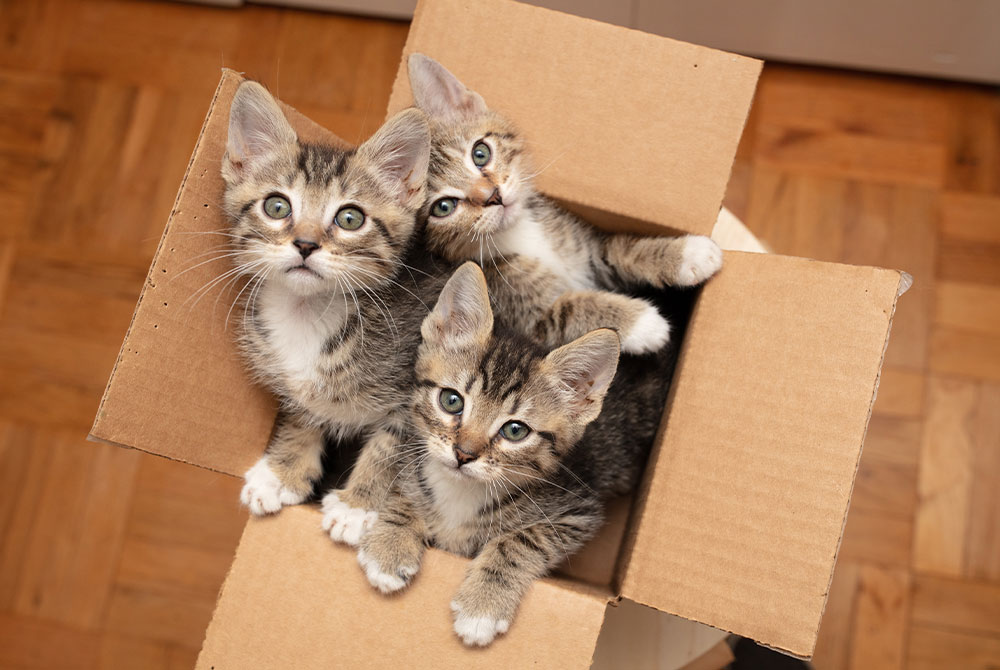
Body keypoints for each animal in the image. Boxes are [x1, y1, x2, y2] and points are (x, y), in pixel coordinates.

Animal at [225, 81, 448, 540]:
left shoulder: (416, 394)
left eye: (350, 218)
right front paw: (283, 473)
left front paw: (357, 506)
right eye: (277, 206)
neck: (307, 314)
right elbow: (301, 409)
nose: (306, 244)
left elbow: (392, 446)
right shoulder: (289, 381)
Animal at [352, 266, 672, 648]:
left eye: (515, 431)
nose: (464, 454)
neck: (460, 491)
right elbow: (405, 487)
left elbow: (521, 539)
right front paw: (391, 544)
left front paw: (482, 606)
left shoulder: (578, 512)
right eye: (451, 400)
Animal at [410, 54, 724, 356]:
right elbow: (568, 310)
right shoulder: (526, 317)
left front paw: (690, 253)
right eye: (444, 207)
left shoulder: (586, 248)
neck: (519, 232)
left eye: (480, 153)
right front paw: (644, 324)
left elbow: (620, 249)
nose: (493, 196)